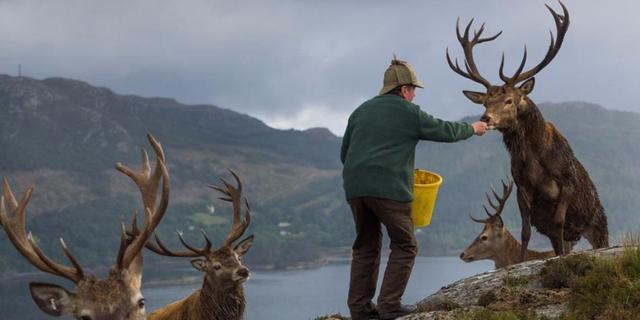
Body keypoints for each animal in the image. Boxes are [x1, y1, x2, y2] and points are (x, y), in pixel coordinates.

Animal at [448, 0, 608, 260]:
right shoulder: (521, 189)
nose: (485, 118)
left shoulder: (566, 183)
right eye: (485, 102)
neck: (534, 161)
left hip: (599, 224)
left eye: (509, 100)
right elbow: (525, 232)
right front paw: (521, 261)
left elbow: (559, 222)